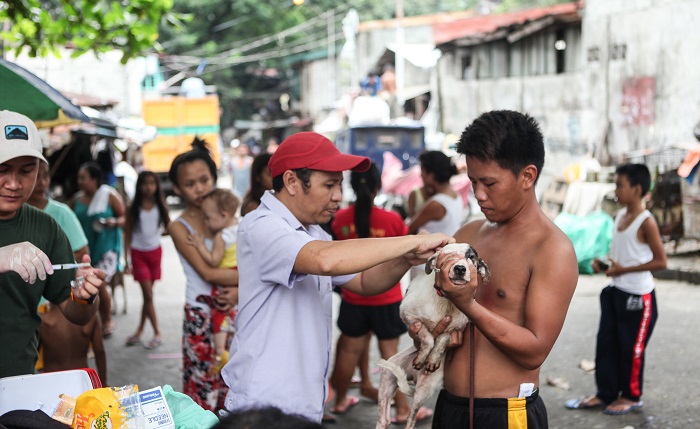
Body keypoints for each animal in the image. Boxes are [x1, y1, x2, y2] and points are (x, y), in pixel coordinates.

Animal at [374, 242, 490, 426]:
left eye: (471, 257)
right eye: (447, 256)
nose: (459, 269)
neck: (447, 303)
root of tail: (413, 377)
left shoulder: (455, 328)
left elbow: (442, 339)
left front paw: (433, 358)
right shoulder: (409, 317)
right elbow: (428, 337)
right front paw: (422, 357)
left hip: (424, 389)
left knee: (409, 420)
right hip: (387, 376)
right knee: (383, 420)